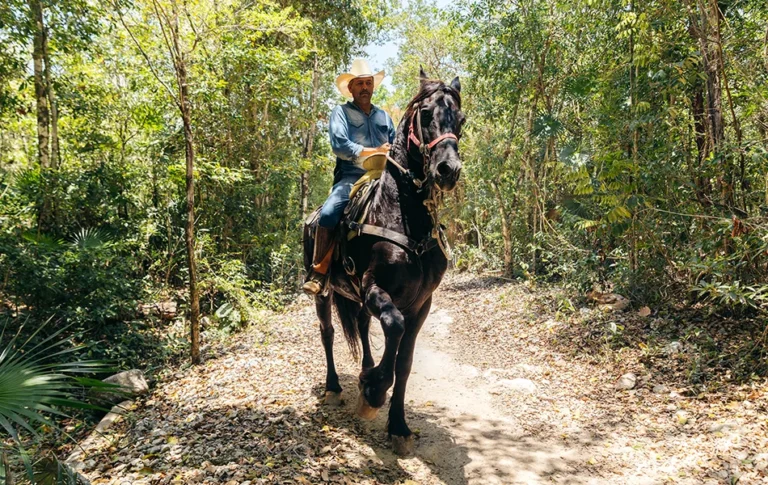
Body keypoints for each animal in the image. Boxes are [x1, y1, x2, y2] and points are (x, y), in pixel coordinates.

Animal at [304, 68, 464, 454]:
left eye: (462, 119)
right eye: (425, 114)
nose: (448, 169)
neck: (402, 214)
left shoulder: (422, 303)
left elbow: (404, 362)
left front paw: (398, 426)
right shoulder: (375, 287)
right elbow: (393, 326)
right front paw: (374, 391)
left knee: (362, 327)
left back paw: (365, 370)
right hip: (323, 293)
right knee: (328, 333)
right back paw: (334, 387)